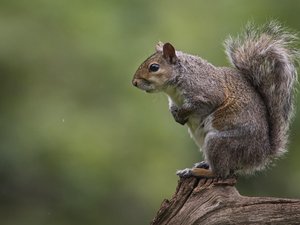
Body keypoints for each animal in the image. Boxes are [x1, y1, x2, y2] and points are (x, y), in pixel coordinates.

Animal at [132, 21, 298, 179]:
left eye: (154, 67)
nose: (134, 82)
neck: (174, 88)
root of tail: (260, 155)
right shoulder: (173, 100)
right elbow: (173, 107)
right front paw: (176, 115)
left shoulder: (207, 92)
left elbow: (198, 105)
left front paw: (182, 113)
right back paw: (202, 164)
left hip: (220, 142)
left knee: (221, 173)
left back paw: (196, 172)